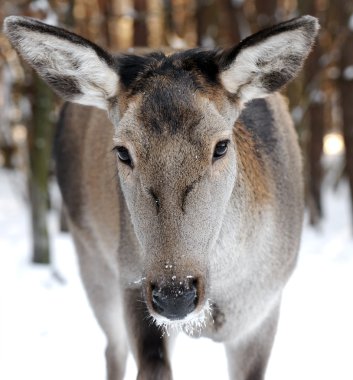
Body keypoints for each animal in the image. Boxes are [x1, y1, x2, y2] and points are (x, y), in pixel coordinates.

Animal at [4, 14, 320, 380]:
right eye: (122, 151)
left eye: (221, 146)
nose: (175, 295)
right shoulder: (132, 280)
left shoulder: (265, 309)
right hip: (91, 255)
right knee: (113, 348)